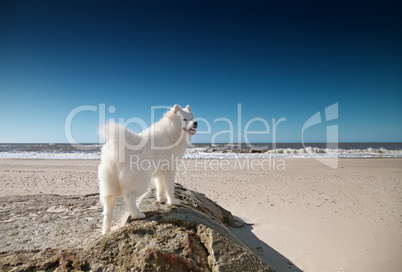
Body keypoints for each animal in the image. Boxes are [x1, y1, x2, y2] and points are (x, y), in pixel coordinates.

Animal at [98, 104, 197, 234]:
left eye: (192, 118)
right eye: (185, 119)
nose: (196, 123)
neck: (172, 132)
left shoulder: (160, 173)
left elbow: (160, 188)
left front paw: (161, 201)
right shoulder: (170, 170)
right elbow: (170, 189)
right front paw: (173, 202)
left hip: (110, 186)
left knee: (108, 209)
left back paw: (106, 231)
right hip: (142, 180)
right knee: (129, 197)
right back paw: (138, 215)